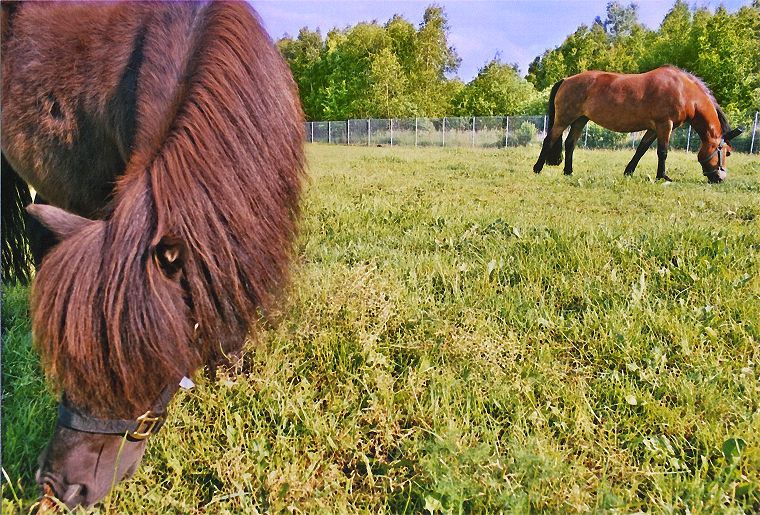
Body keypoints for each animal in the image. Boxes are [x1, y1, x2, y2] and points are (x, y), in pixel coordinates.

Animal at [536, 66, 744, 183]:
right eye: (727, 153)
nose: (720, 179)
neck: (684, 91)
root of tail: (566, 80)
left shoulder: (653, 128)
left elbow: (641, 149)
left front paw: (629, 171)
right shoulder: (664, 125)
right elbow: (662, 152)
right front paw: (662, 176)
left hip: (580, 120)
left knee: (570, 143)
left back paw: (568, 172)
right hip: (564, 118)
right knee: (549, 139)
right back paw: (537, 168)